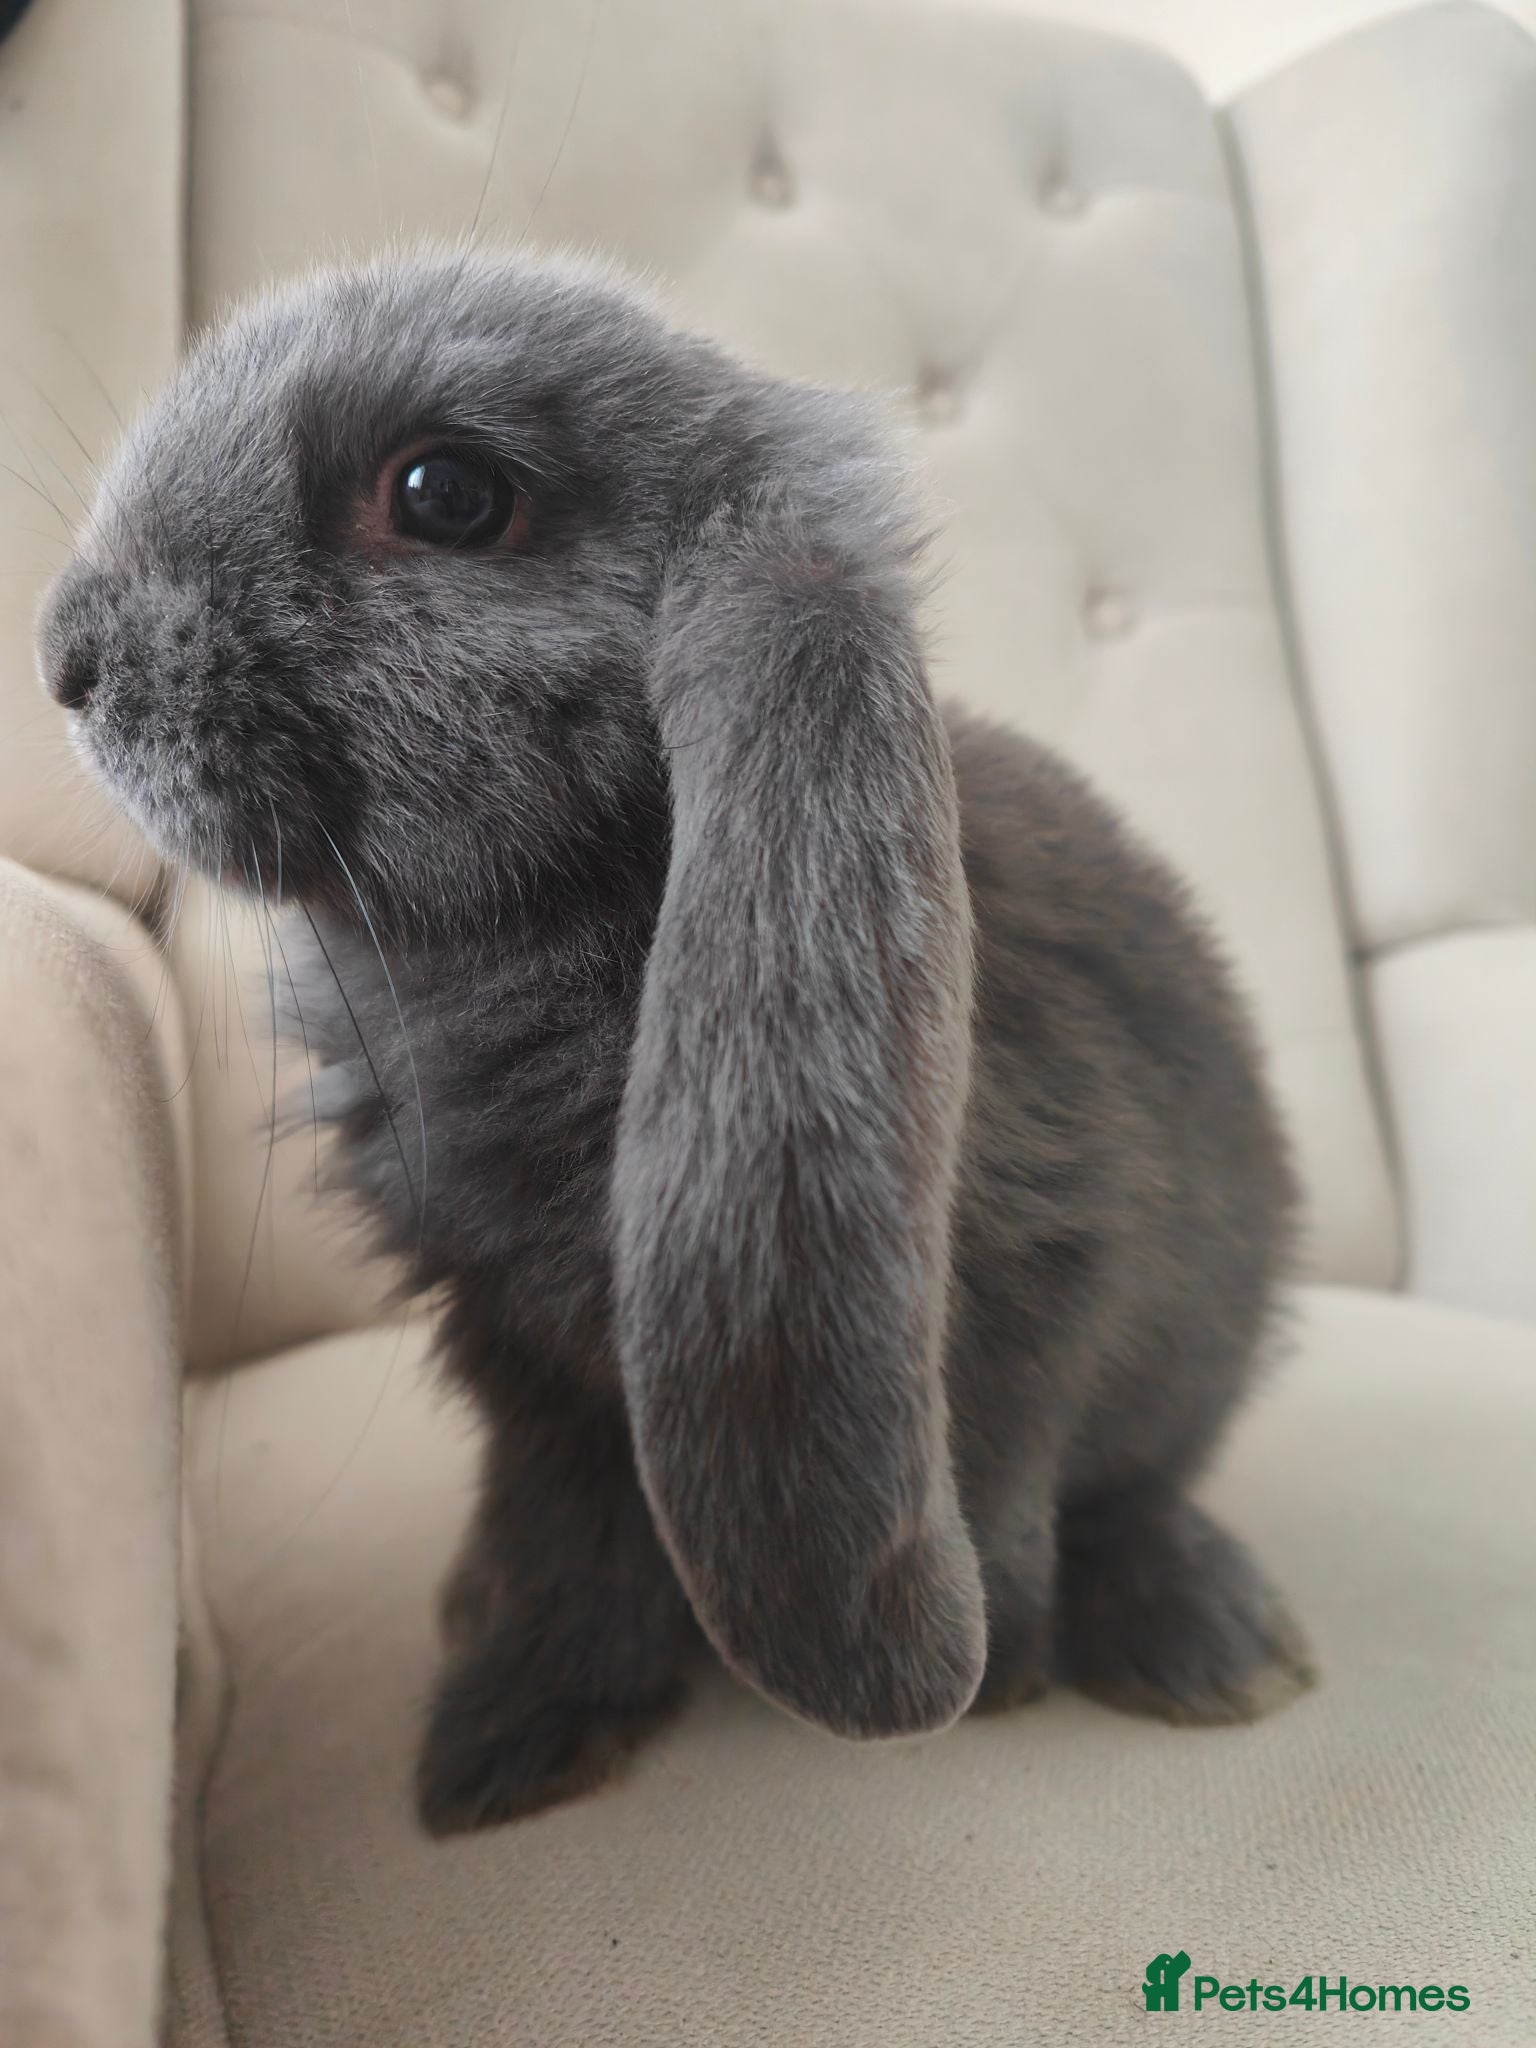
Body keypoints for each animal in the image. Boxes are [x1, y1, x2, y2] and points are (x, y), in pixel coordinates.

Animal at [39, 249, 1313, 1836]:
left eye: (444, 493)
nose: (64, 650)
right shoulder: (528, 1364)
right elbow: (575, 1545)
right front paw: (506, 1746)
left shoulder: (1057, 1256)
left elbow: (1017, 1455)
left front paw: (1005, 1658)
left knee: (1138, 1486)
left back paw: (1213, 1647)